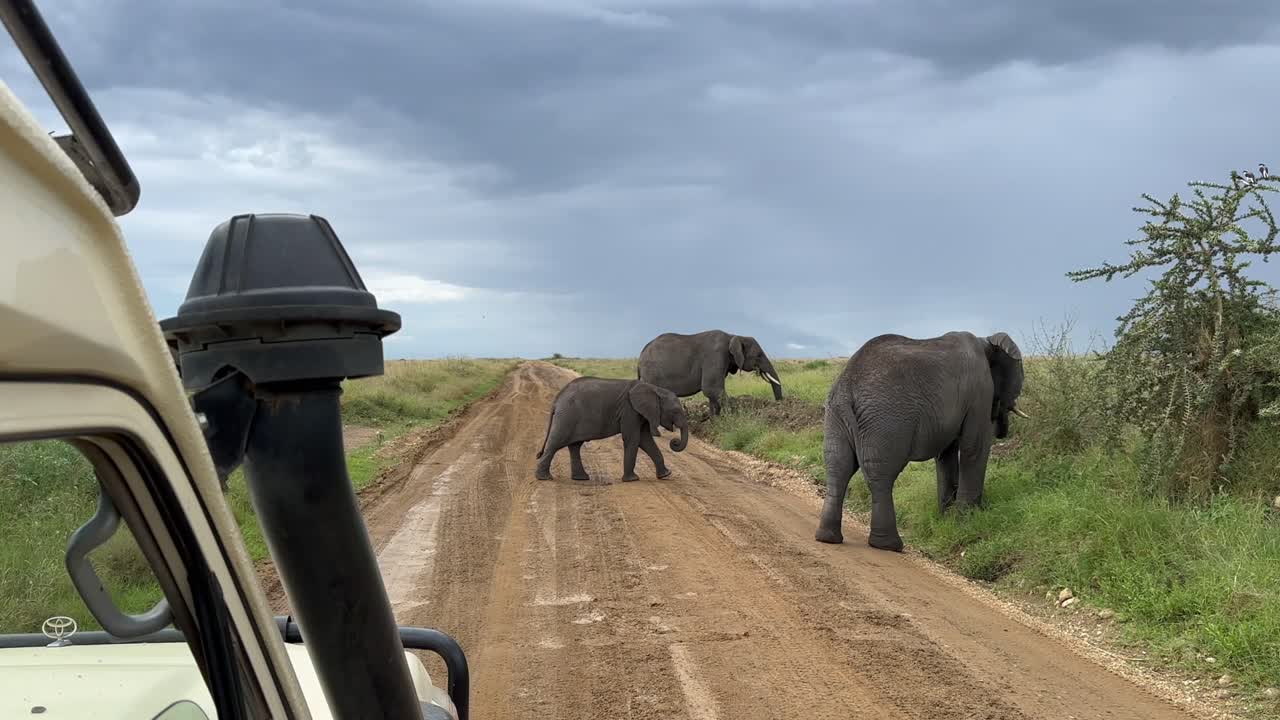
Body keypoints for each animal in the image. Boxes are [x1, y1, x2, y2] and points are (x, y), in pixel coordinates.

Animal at [535, 377, 690, 482]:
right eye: (675, 411)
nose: (674, 442)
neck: (654, 389)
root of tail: (557, 400)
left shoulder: (642, 413)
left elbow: (646, 440)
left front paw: (666, 475)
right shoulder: (629, 411)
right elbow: (633, 439)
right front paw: (632, 480)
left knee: (575, 446)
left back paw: (581, 478)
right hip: (567, 417)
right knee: (555, 442)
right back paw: (544, 478)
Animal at [636, 330, 782, 417]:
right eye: (759, 355)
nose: (779, 403)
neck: (733, 336)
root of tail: (642, 353)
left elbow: (712, 393)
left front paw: (716, 422)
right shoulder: (715, 356)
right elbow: (711, 388)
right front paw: (735, 419)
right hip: (652, 373)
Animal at [814, 331, 1030, 552]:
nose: (1003, 429)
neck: (985, 341)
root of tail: (848, 387)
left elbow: (946, 454)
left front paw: (947, 519)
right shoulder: (980, 391)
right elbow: (974, 448)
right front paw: (967, 520)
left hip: (835, 414)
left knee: (838, 468)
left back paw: (828, 537)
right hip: (887, 419)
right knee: (880, 474)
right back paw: (889, 545)